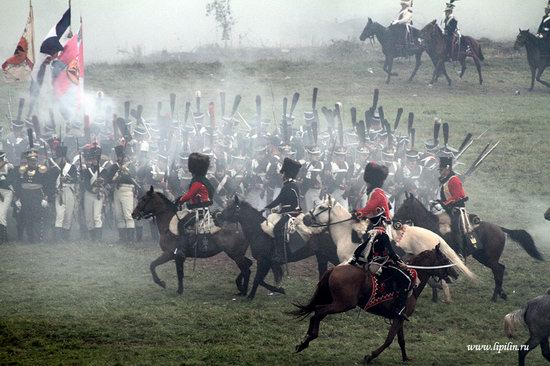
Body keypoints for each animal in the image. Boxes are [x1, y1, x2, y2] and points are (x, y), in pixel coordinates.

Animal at [294, 246, 462, 364]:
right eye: (445, 259)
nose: (456, 274)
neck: (413, 282)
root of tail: (334, 269)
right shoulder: (398, 318)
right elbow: (389, 340)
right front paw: (370, 356)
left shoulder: (399, 317)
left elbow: (401, 340)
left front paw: (405, 358)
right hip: (343, 304)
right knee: (318, 311)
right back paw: (307, 340)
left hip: (337, 303)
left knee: (317, 312)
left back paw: (304, 341)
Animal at [394, 193, 544, 302]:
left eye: (405, 206)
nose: (394, 219)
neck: (430, 227)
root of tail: (500, 229)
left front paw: (436, 295)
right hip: (482, 257)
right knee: (500, 269)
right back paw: (501, 294)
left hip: (489, 258)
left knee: (498, 271)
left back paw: (495, 297)